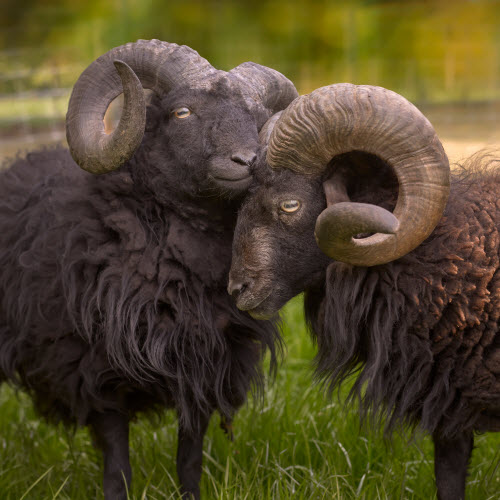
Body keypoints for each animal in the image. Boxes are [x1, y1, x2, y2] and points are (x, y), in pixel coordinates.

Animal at [0, 40, 296, 500]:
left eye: (261, 119)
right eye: (182, 113)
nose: (247, 162)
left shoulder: (205, 366)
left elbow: (189, 458)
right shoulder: (97, 372)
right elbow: (117, 468)